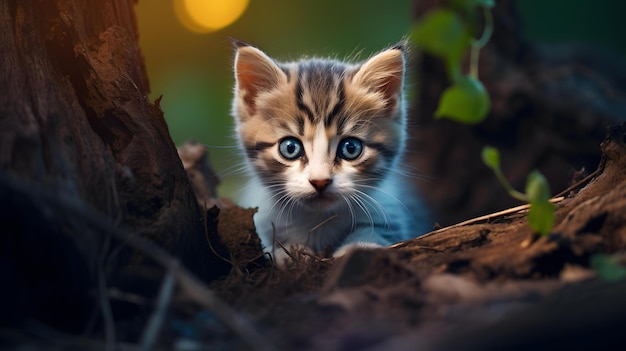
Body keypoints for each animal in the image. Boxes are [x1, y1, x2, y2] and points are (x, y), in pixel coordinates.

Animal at [229, 40, 428, 264]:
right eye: (290, 148)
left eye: (351, 148)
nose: (320, 182)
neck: (318, 220)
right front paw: (288, 252)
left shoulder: (393, 213)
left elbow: (378, 229)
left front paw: (360, 246)